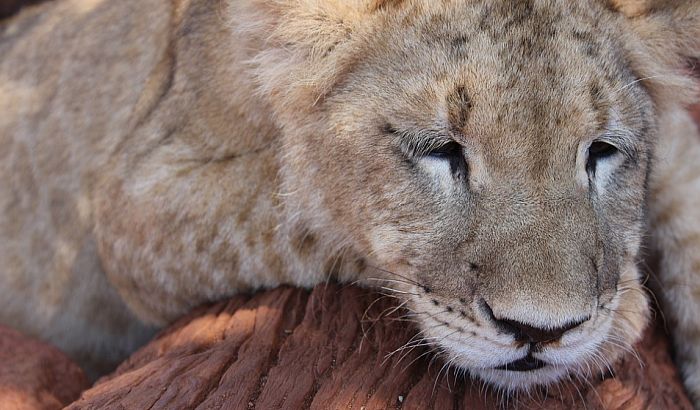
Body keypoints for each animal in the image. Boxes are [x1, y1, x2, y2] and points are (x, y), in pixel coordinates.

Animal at [1, 0, 700, 404]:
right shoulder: (136, 200)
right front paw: (623, 313)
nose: (542, 333)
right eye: (439, 149)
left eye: (602, 150)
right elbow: (306, 198)